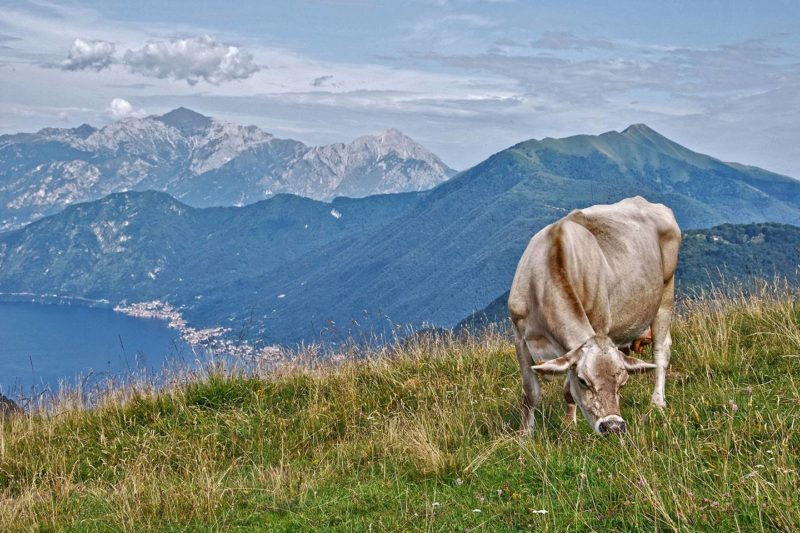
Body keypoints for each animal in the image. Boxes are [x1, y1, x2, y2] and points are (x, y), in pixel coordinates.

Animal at [510, 197, 680, 434]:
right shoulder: (519, 336)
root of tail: (643, 201)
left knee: (661, 351)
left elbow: (567, 391)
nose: (614, 426)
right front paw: (525, 435)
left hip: (666, 292)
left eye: (622, 383)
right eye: (583, 381)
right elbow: (530, 392)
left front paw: (569, 426)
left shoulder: (595, 327)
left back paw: (657, 403)